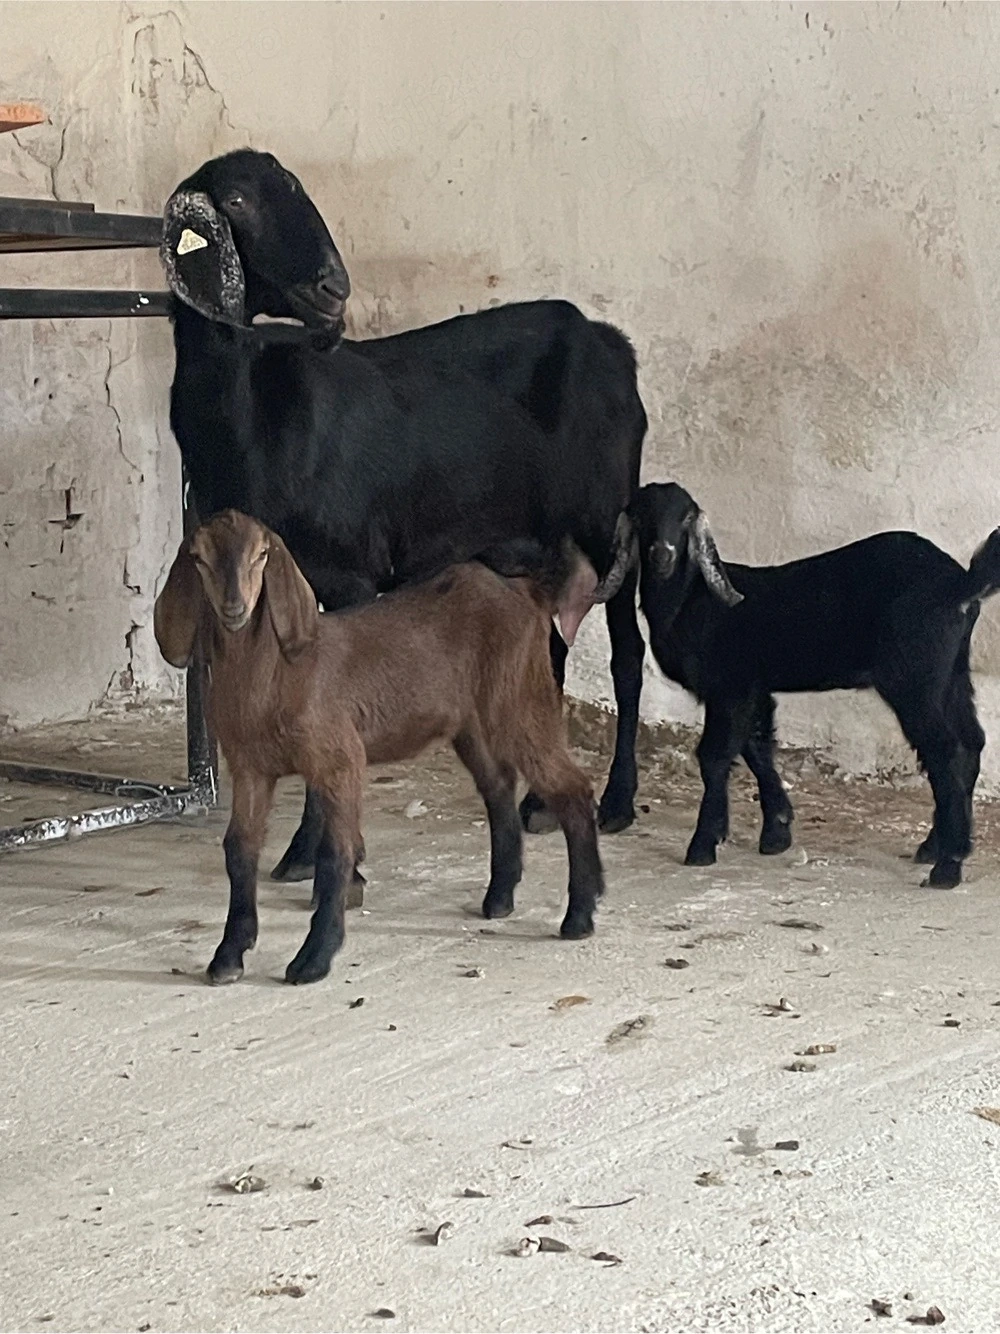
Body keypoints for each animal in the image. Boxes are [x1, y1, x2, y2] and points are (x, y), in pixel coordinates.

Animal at [153, 511, 628, 985]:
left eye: (262, 554)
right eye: (199, 558)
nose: (235, 608)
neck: (276, 675)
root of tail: (529, 591)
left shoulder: (340, 760)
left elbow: (334, 855)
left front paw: (313, 958)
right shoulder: (250, 767)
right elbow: (239, 850)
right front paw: (229, 954)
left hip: (518, 699)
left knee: (572, 789)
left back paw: (579, 914)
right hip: (471, 723)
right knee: (499, 788)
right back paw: (500, 898)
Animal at [160, 150, 648, 893]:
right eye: (238, 200)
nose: (333, 288)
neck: (253, 408)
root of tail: (609, 341)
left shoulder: (351, 575)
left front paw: (310, 853)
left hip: (604, 517)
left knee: (627, 653)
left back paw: (617, 800)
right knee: (552, 648)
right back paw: (536, 799)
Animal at [630, 481, 1000, 888]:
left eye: (685, 518)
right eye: (643, 515)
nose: (662, 555)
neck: (691, 600)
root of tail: (959, 585)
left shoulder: (730, 686)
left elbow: (715, 756)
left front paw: (703, 845)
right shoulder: (753, 688)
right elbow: (756, 747)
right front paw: (776, 832)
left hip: (915, 680)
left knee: (945, 751)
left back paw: (948, 865)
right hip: (953, 674)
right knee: (970, 743)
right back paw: (936, 846)